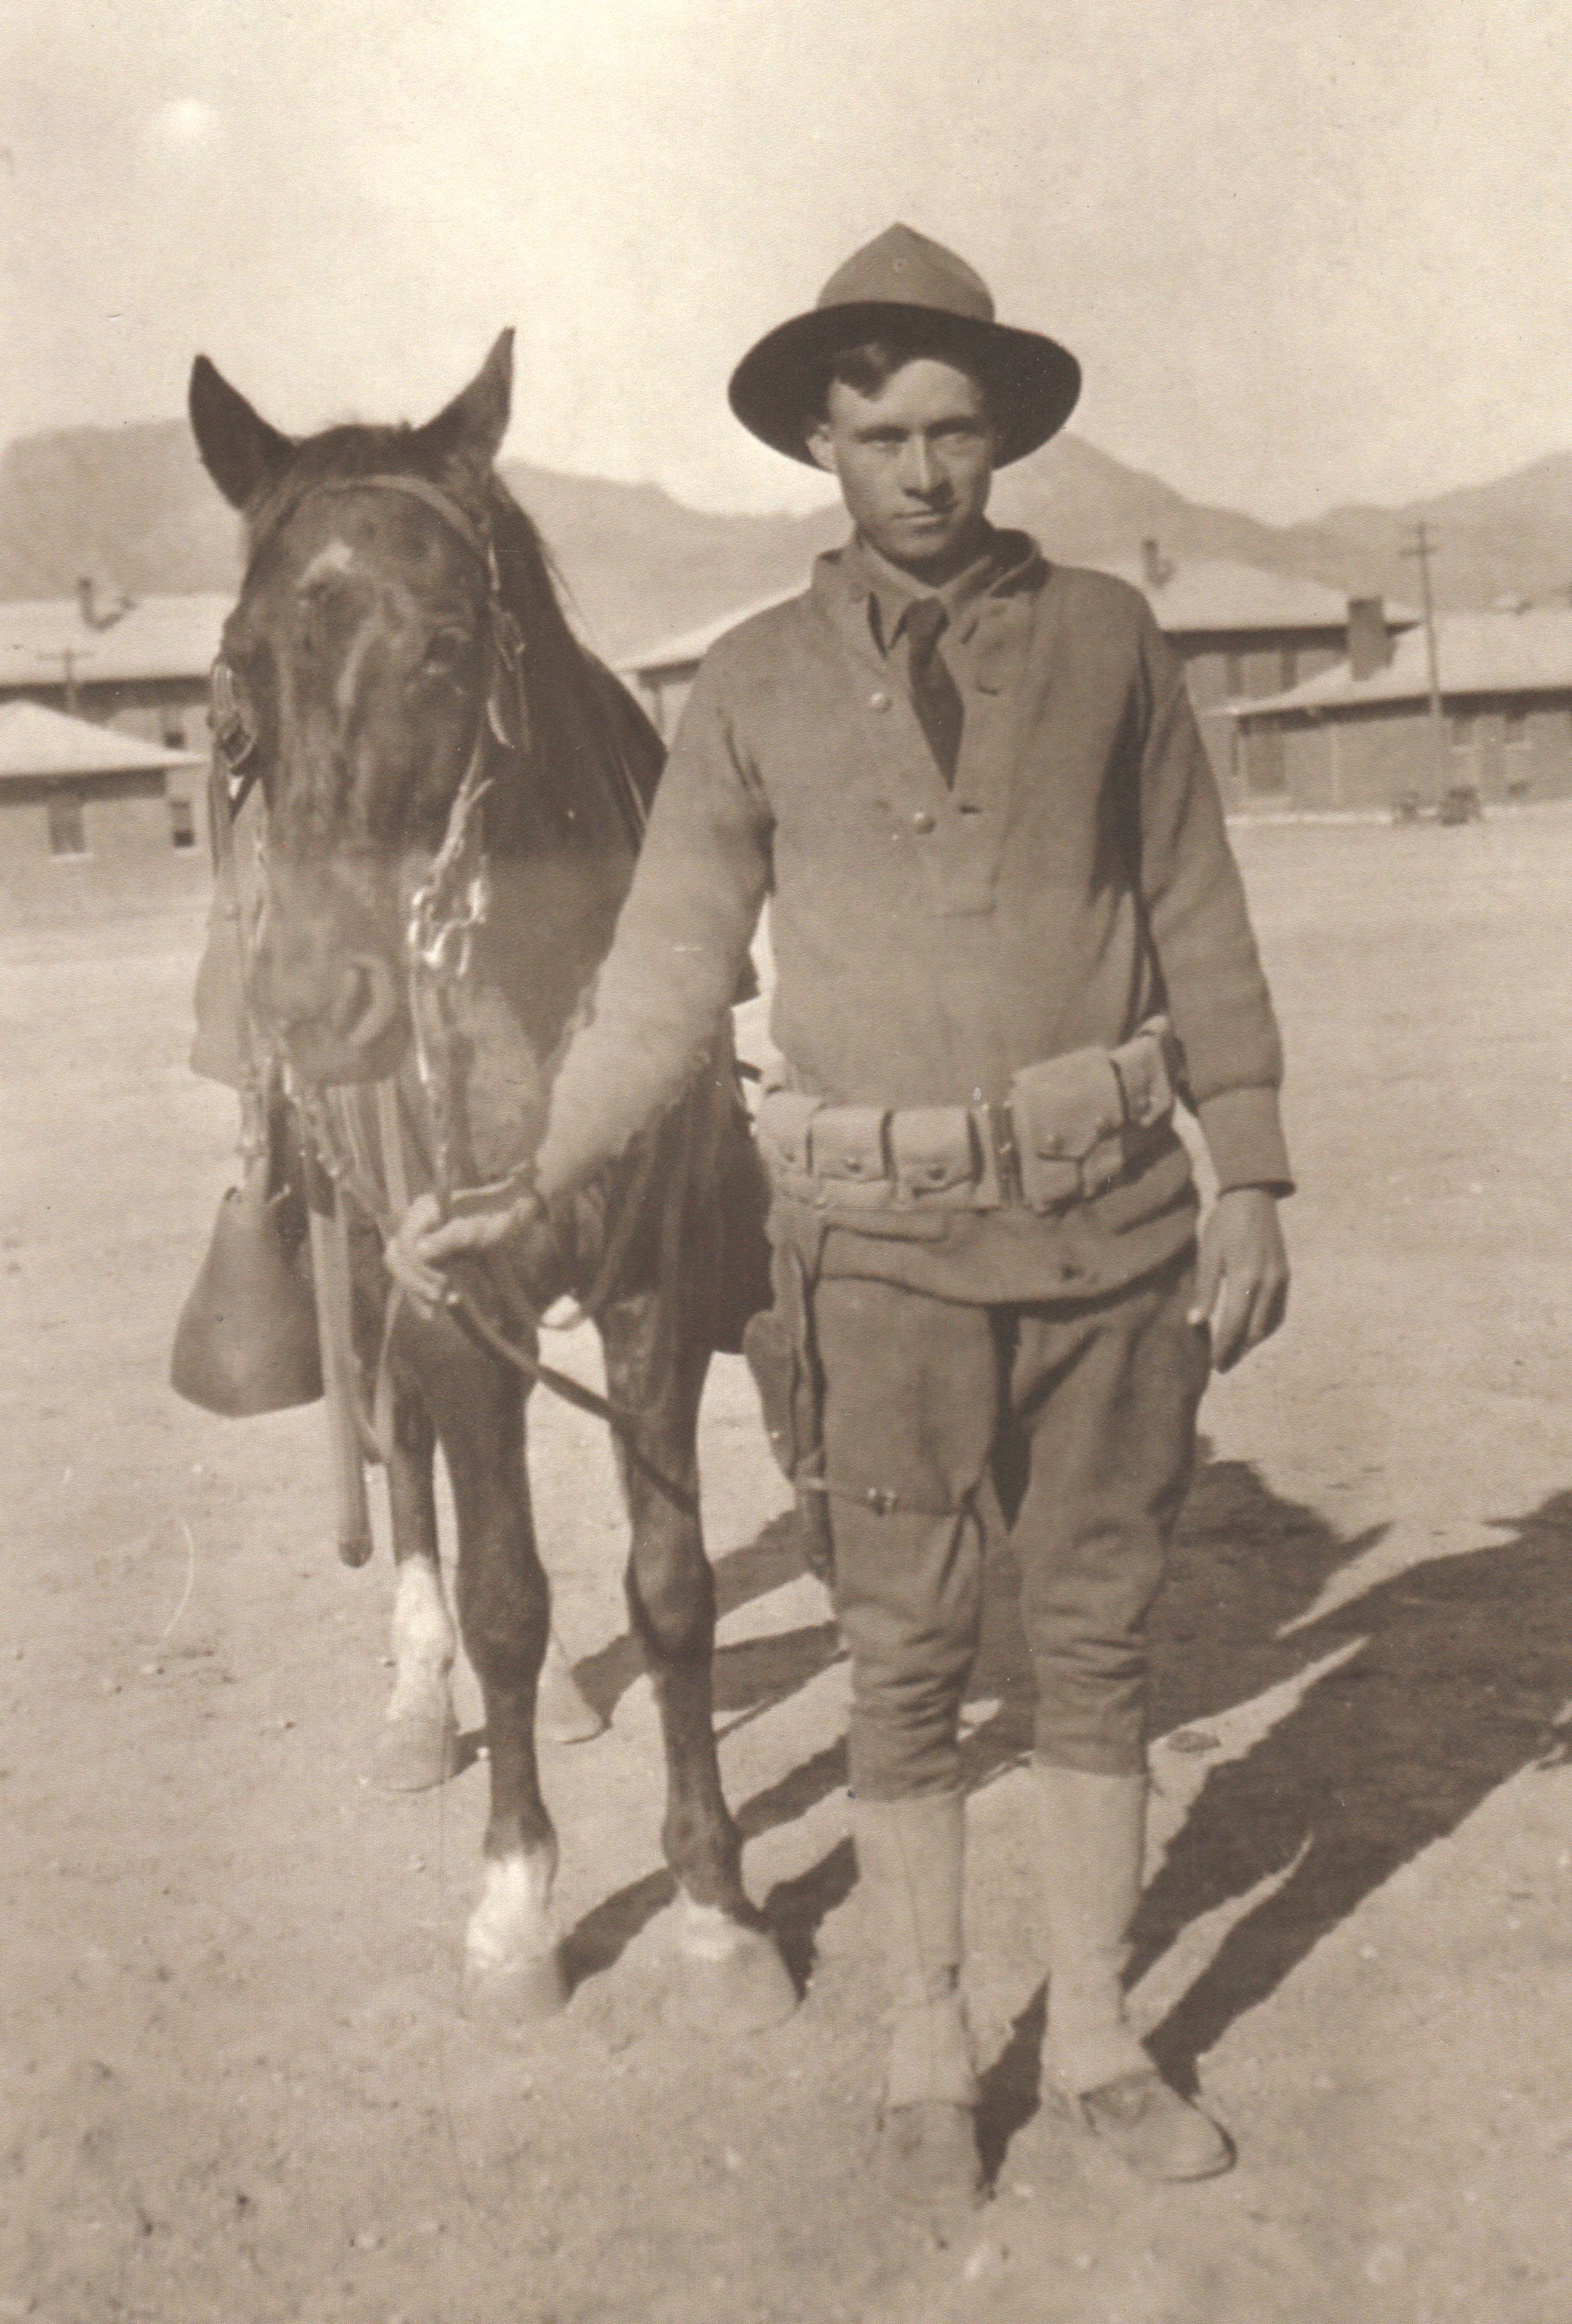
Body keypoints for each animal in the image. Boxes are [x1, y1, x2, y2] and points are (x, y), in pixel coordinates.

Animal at [185, 333, 796, 2034]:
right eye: (241, 659)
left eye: (450, 643)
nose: (317, 1000)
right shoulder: (452, 1291)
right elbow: (506, 1593)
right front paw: (518, 1904)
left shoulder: (653, 1284)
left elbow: (670, 1586)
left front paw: (714, 1897)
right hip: (370, 1260)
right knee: (407, 1467)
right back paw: (416, 1697)